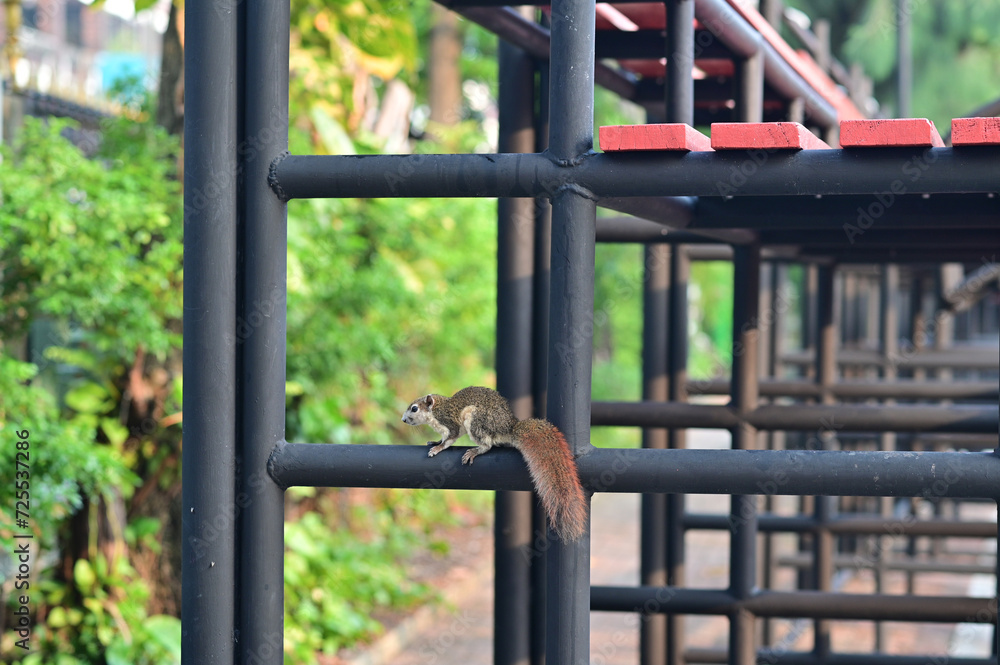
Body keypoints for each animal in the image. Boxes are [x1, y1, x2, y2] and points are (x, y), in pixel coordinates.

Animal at [398, 384, 584, 540]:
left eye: (414, 408)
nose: (403, 420)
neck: (436, 411)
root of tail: (509, 428)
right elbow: (444, 438)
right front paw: (435, 442)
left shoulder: (450, 423)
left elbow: (449, 439)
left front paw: (438, 448)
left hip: (477, 420)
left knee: (487, 444)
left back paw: (475, 451)